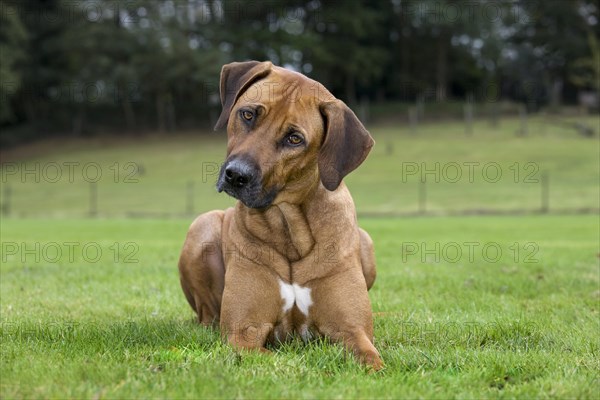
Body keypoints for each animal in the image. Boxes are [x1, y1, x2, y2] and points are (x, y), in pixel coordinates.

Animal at [179, 61, 384, 370]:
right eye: (248, 114)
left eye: (294, 138)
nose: (236, 175)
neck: (289, 227)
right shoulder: (244, 332)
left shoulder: (353, 330)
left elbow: (372, 359)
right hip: (202, 226)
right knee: (205, 315)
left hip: (366, 242)